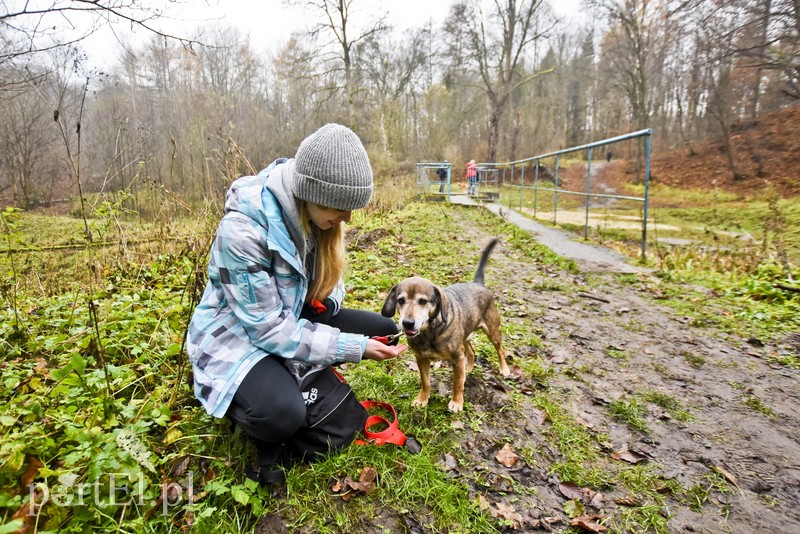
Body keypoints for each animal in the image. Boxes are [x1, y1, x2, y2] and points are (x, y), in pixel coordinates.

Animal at [380, 240, 506, 414]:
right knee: (471, 350)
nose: (407, 323)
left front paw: (457, 402)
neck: (429, 332)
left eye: (423, 301)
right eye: (400, 300)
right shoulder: (421, 359)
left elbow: (457, 383)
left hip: (493, 331)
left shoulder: (457, 358)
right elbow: (425, 382)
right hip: (465, 335)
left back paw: (504, 369)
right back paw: (469, 368)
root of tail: (478, 283)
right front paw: (422, 399)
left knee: (500, 350)